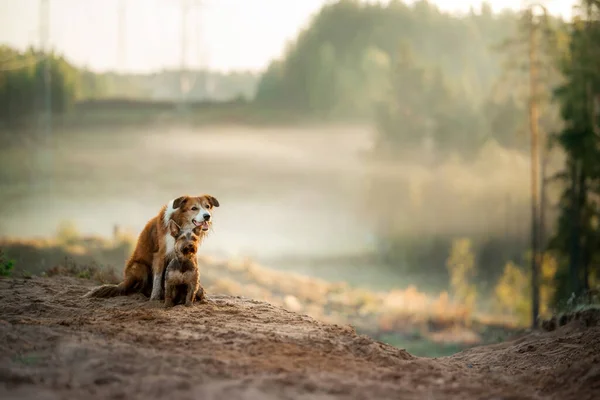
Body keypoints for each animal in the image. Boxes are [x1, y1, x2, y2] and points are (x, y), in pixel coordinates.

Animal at [82, 194, 218, 300]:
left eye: (207, 206)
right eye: (194, 208)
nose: (207, 216)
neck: (182, 223)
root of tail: (124, 282)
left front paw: (198, 291)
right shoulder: (160, 254)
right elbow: (158, 277)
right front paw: (155, 297)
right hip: (140, 267)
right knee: (137, 289)